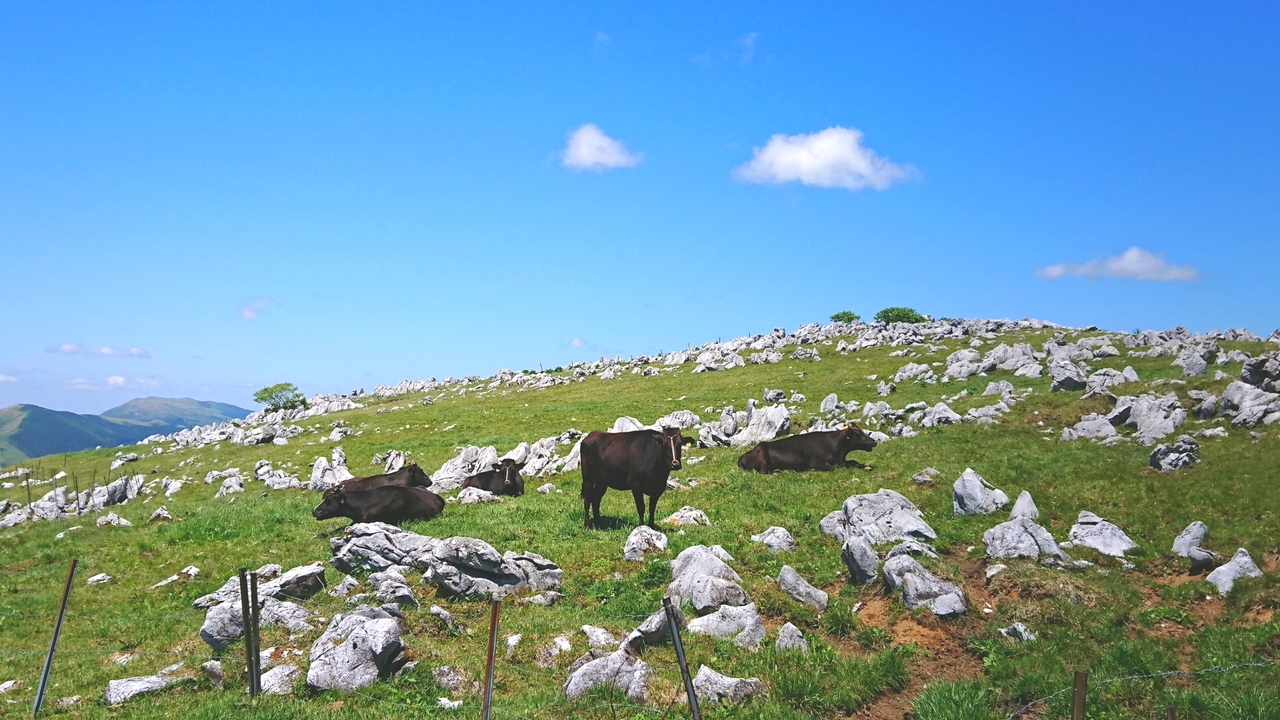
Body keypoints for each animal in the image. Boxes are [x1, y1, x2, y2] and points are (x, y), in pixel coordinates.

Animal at [737, 422, 875, 474]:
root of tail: (742, 457)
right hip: (763, 456)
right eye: (858, 434)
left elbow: (853, 462)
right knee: (763, 472)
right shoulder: (817, 462)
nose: (874, 442)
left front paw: (866, 467)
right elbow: (836, 467)